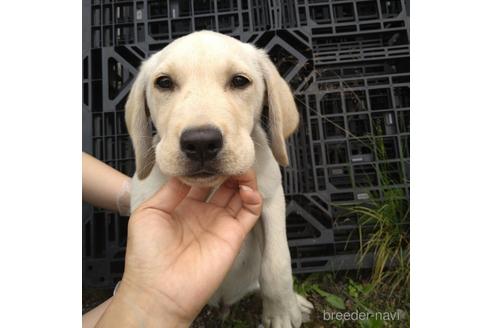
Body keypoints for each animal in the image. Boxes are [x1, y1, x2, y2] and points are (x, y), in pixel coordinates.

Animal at [126, 30, 312, 326]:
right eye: (164, 83)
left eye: (239, 81)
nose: (201, 142)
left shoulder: (271, 200)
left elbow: (276, 263)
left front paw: (281, 311)